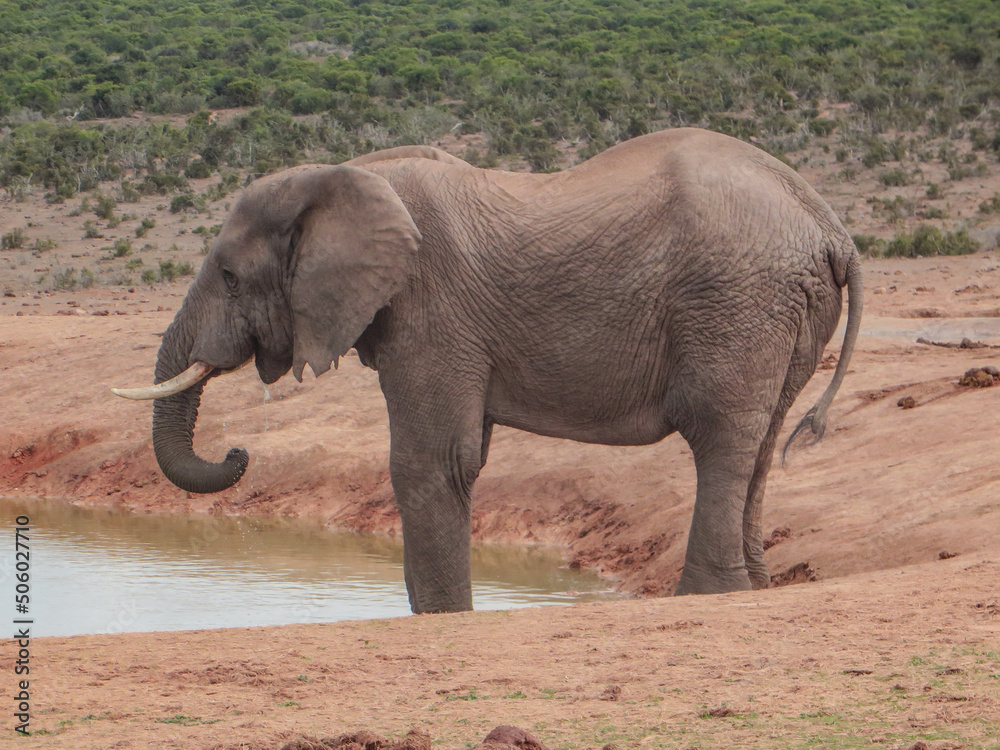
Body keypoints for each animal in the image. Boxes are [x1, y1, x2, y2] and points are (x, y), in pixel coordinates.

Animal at [114, 128, 862, 614]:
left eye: (229, 275)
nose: (238, 452)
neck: (343, 175)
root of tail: (830, 225)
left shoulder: (428, 307)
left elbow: (432, 461)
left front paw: (442, 619)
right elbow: (457, 455)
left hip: (737, 299)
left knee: (720, 438)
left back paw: (705, 599)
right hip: (778, 309)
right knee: (760, 442)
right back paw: (750, 592)